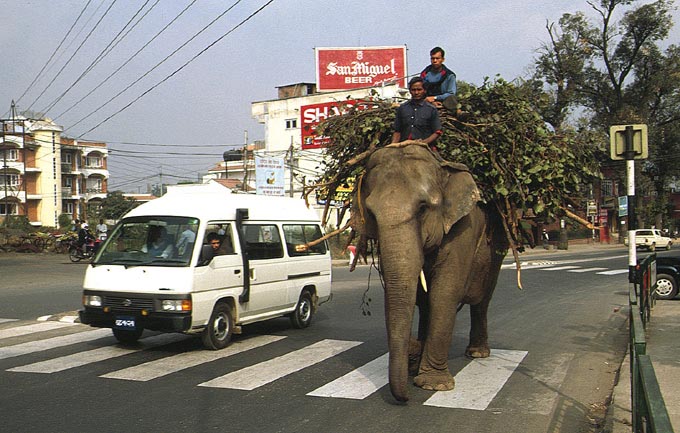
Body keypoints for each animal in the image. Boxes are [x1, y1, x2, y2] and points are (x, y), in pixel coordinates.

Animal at [354, 142, 508, 402]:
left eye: (423, 208)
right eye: (371, 214)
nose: (405, 398)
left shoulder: (462, 229)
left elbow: (444, 293)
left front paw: (433, 385)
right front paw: (416, 365)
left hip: (496, 250)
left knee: (482, 299)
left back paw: (477, 353)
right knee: (427, 305)